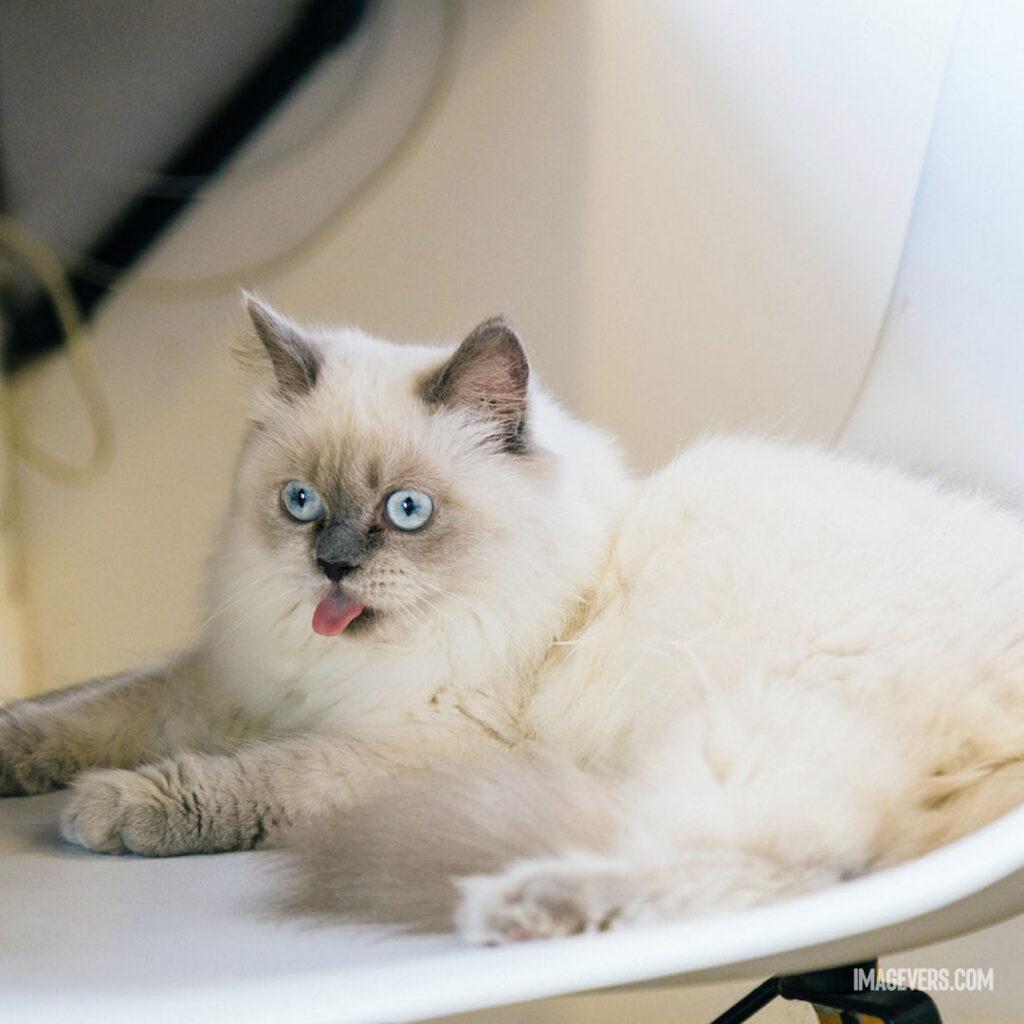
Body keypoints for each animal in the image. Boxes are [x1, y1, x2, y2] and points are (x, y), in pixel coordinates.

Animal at [2, 299, 1024, 942]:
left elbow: (246, 779)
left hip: (739, 738)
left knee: (780, 871)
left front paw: (112, 808)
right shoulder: (235, 678)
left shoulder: (417, 746)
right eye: (300, 503)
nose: (332, 564)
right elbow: (106, 709)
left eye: (407, 511)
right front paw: (20, 753)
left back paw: (521, 906)